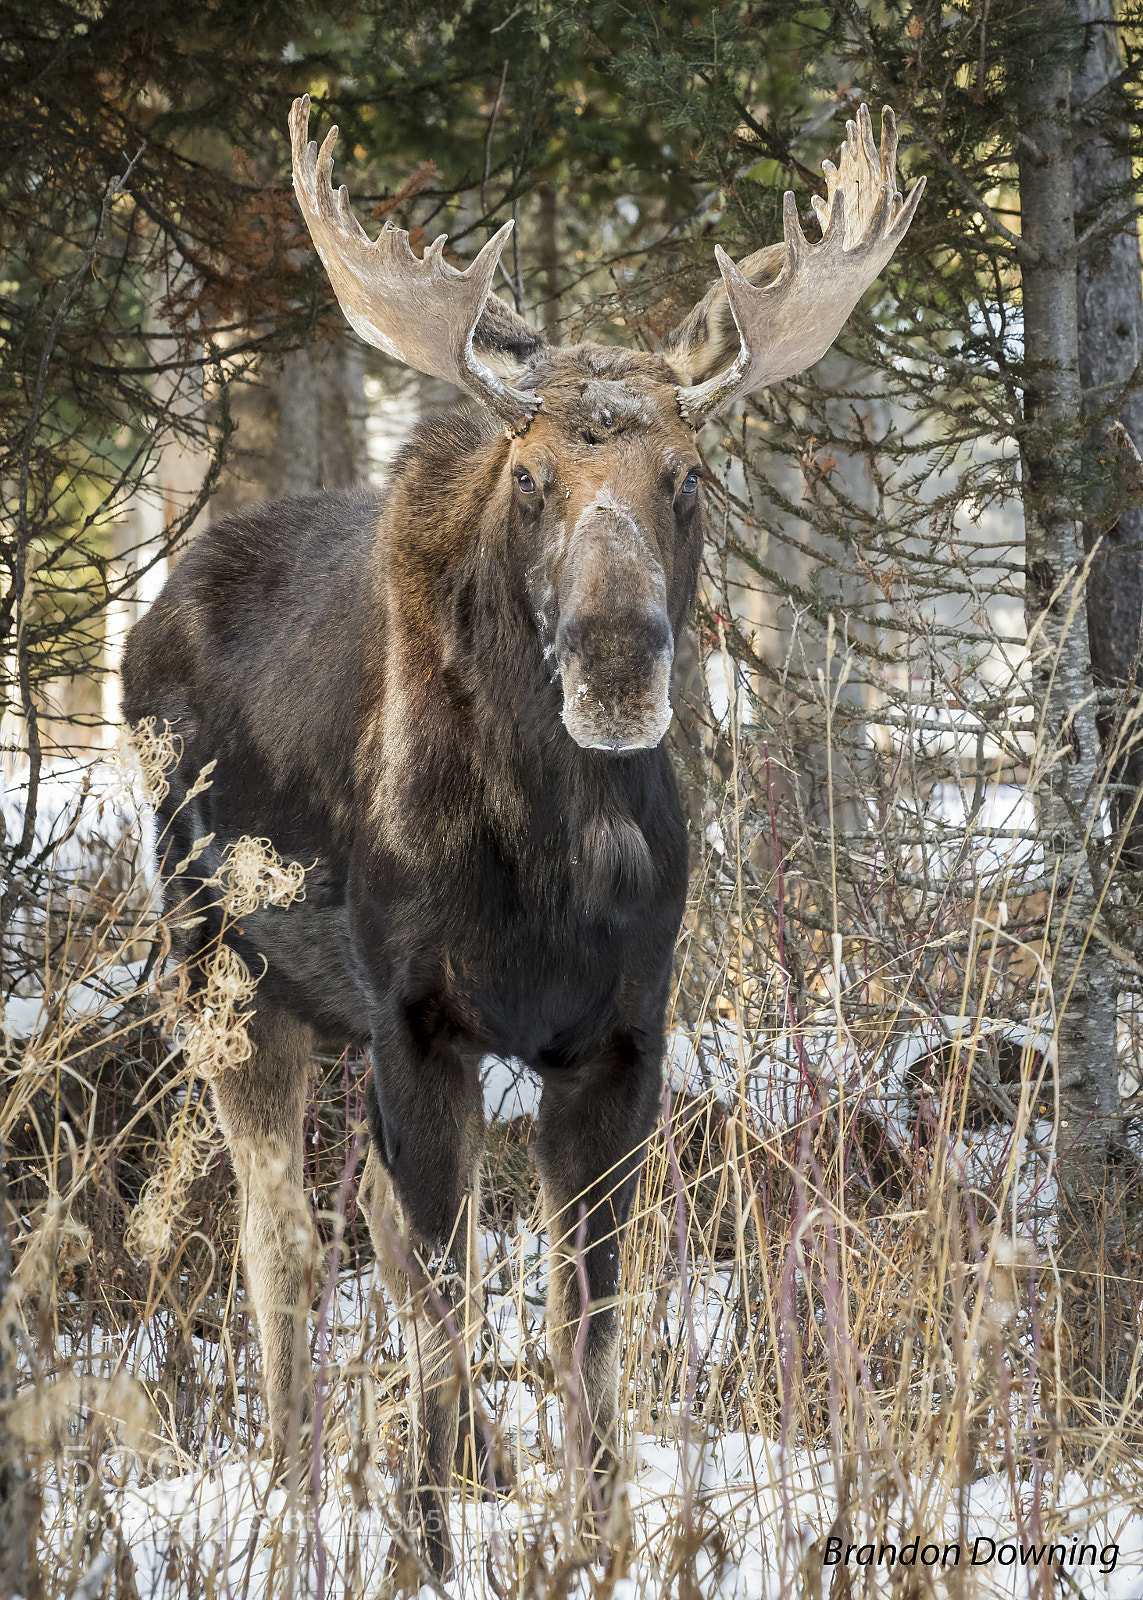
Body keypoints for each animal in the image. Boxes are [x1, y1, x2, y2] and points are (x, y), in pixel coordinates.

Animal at [122, 95, 921, 1582]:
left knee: (368, 1230)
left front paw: (595, 1529)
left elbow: (582, 1317)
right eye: (535, 475)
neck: (557, 867)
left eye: (689, 475)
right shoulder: (418, 1018)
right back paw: (299, 1492)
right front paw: (422, 1541)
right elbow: (445, 1305)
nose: (614, 658)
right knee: (283, 1240)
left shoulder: (620, 1035)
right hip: (221, 966)